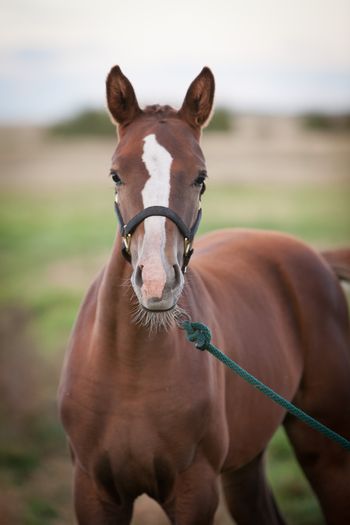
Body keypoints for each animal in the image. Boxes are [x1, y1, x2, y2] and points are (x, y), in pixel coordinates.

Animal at [58, 66, 350, 524]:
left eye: (201, 177)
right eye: (115, 174)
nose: (157, 281)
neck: (130, 372)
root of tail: (317, 257)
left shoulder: (195, 491)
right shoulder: (93, 492)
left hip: (325, 450)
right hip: (246, 462)